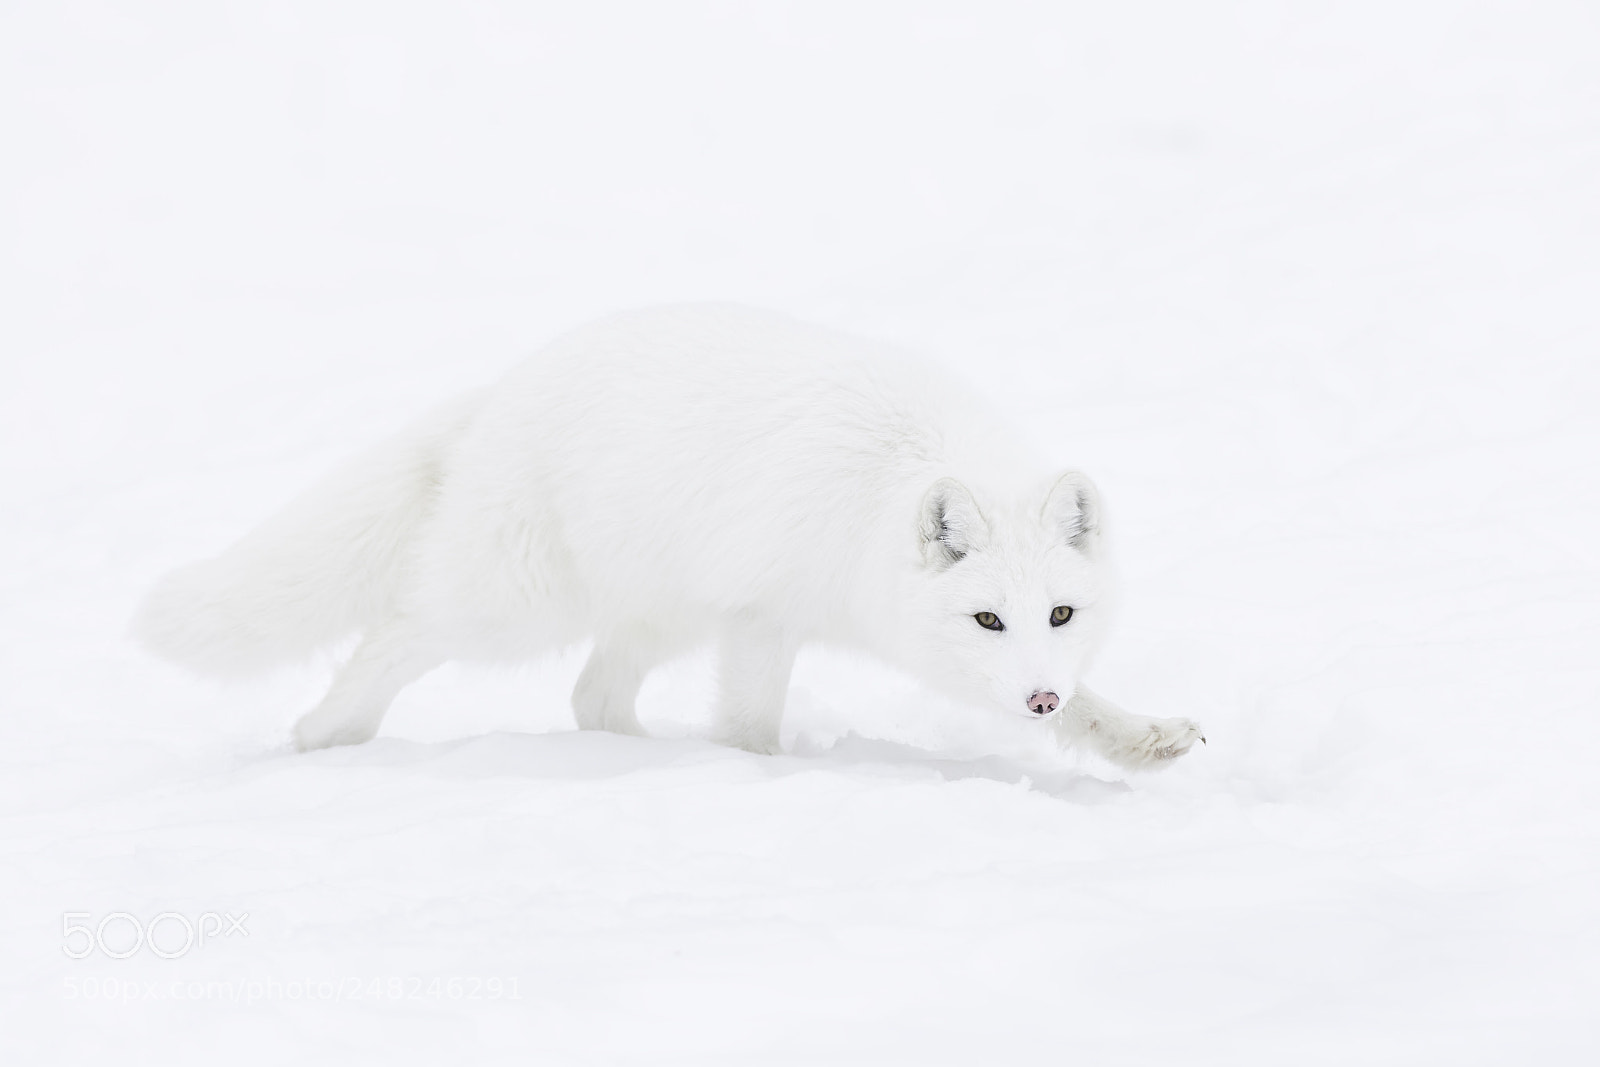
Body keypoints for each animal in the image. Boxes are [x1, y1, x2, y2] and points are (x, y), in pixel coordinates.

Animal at [134, 304, 1204, 769]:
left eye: (1060, 614)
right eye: (987, 617)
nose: (1035, 696)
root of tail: (504, 387)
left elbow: (1091, 708)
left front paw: (1142, 736)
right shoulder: (764, 616)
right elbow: (750, 728)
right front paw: (755, 773)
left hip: (659, 614)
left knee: (590, 696)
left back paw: (637, 756)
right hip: (515, 605)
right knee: (399, 631)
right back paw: (324, 736)